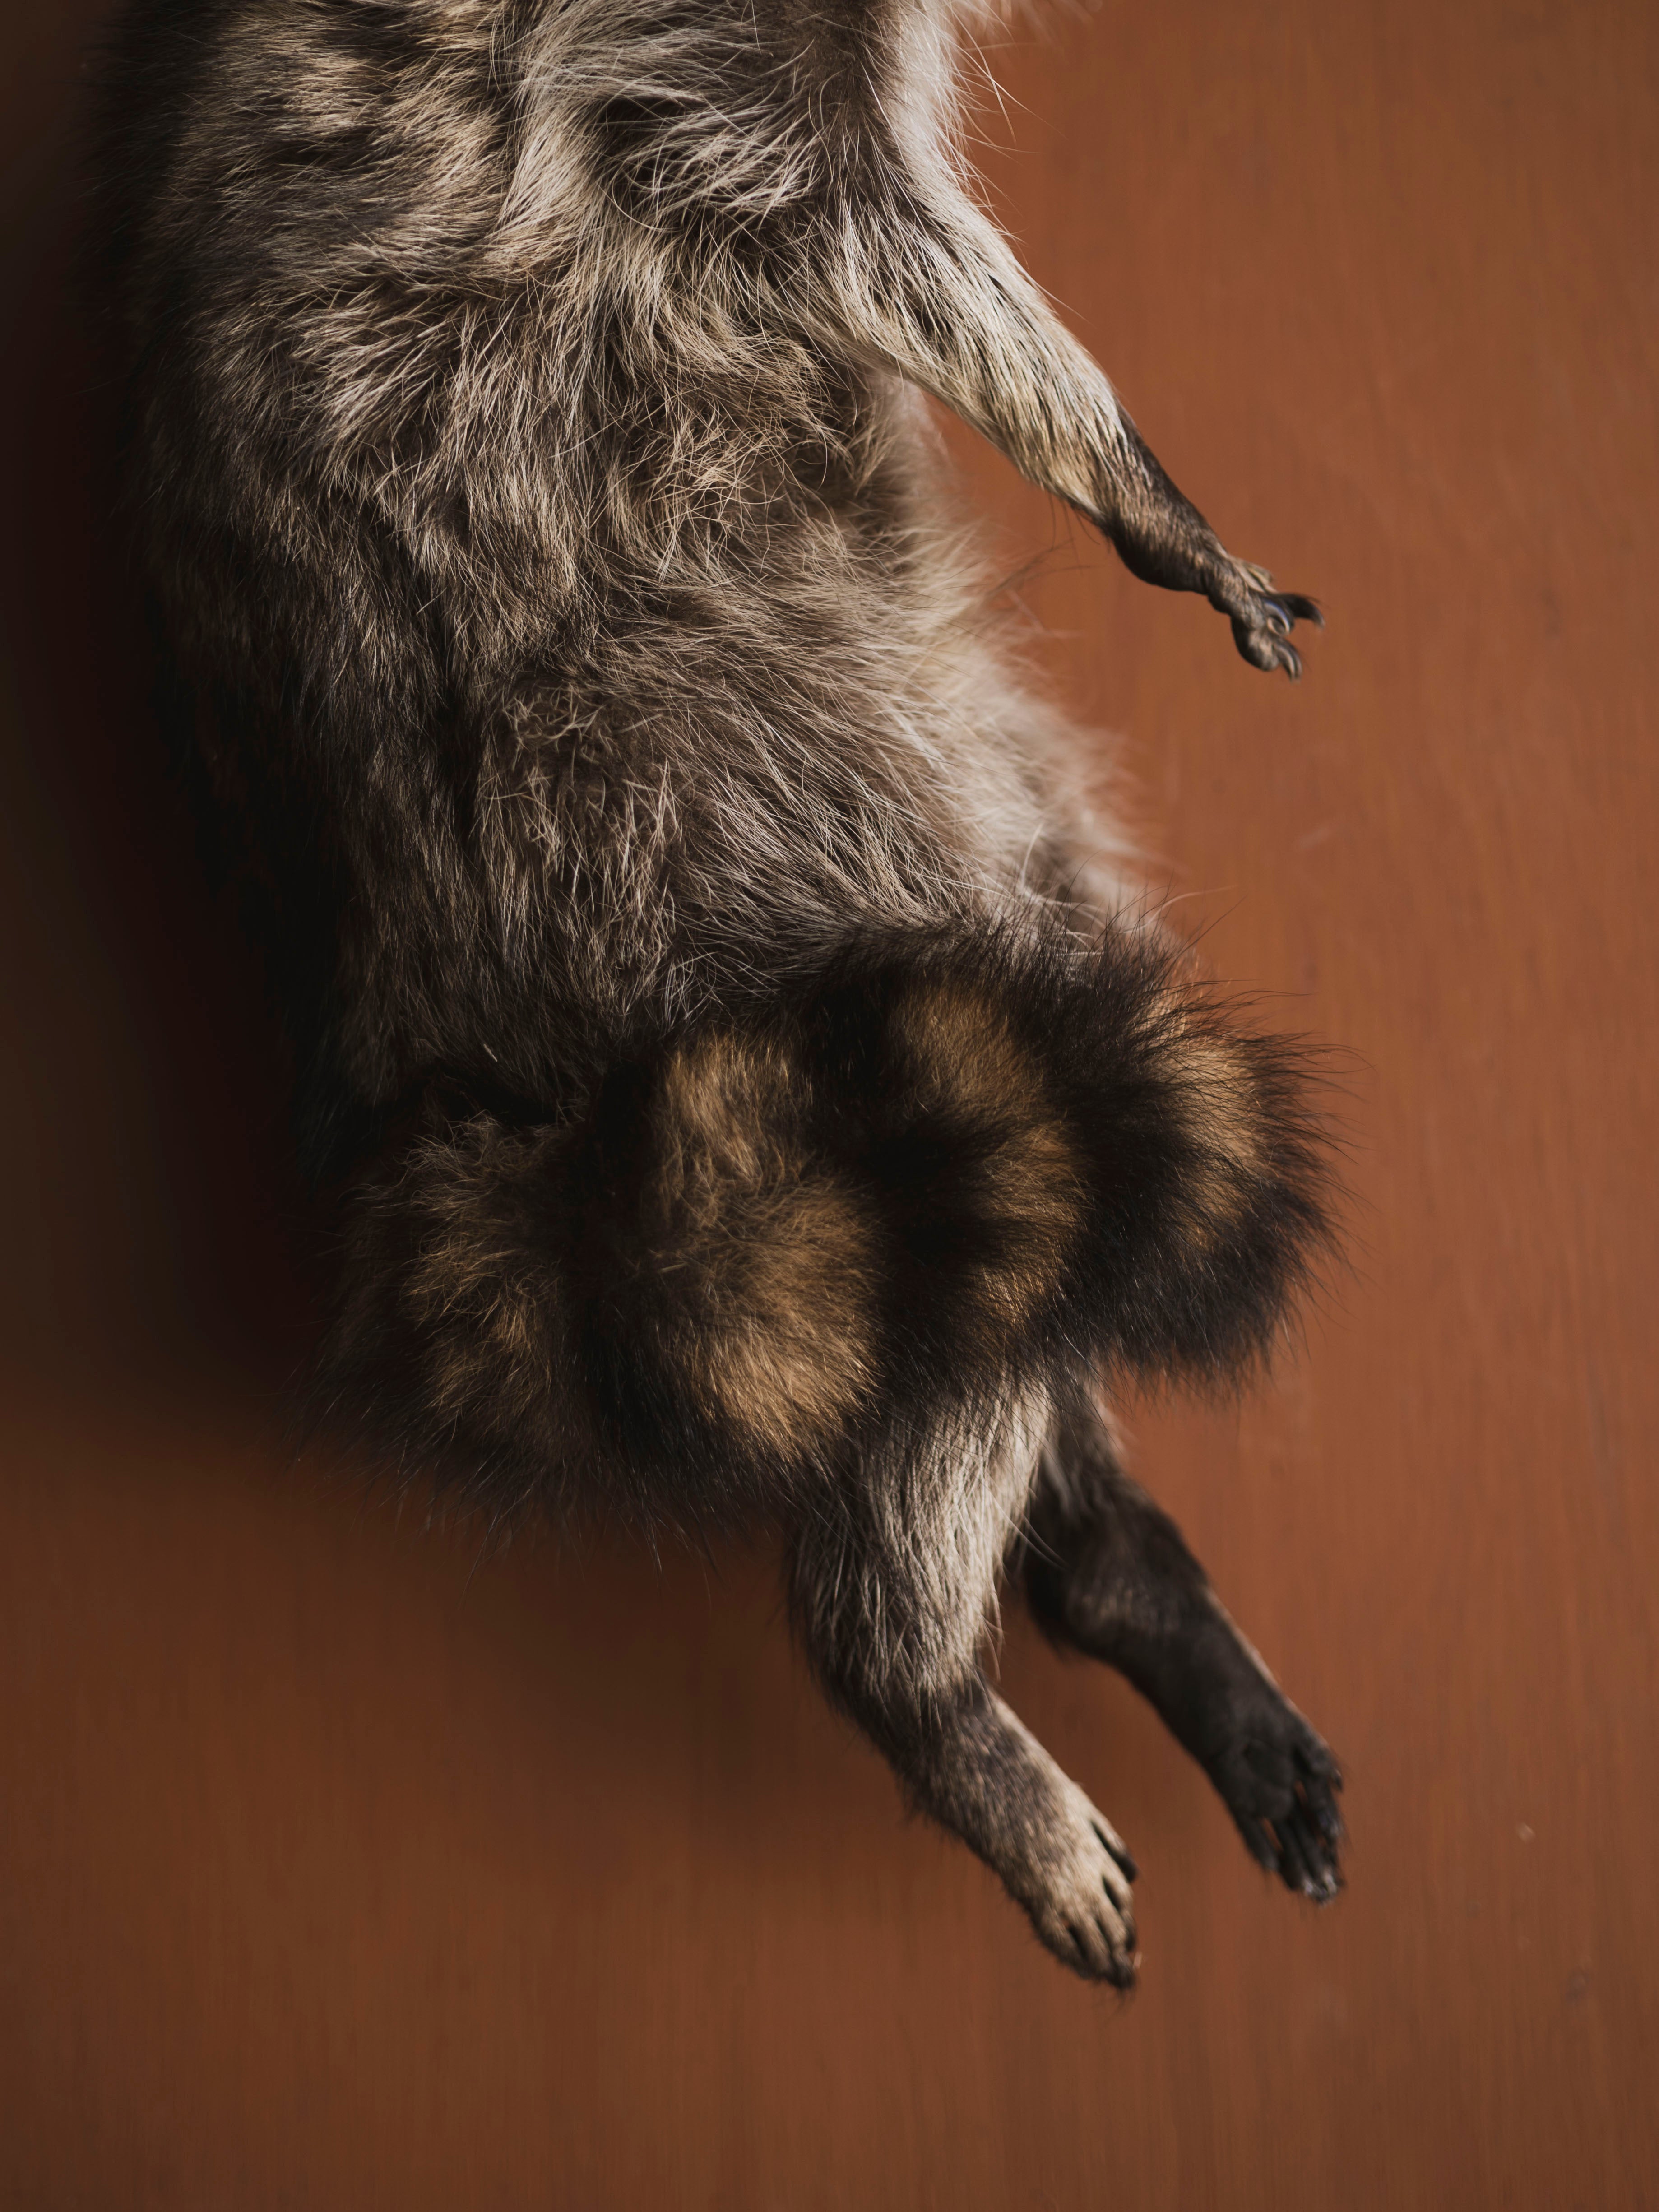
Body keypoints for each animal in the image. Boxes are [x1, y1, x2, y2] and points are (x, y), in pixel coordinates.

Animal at [94, 0, 1341, 1982]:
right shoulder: (662, 66)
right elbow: (846, 226)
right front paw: (1118, 467)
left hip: (923, 792)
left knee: (1016, 1178)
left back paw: (1105, 1562)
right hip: (679, 782)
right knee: (966, 1219)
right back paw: (911, 1673)